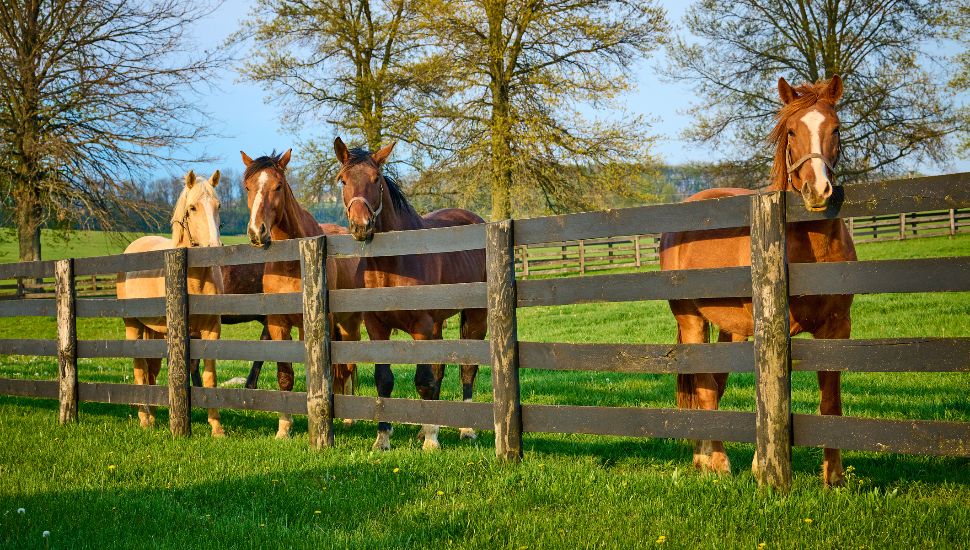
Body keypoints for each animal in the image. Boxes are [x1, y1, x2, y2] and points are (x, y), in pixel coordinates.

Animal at [117, 170, 227, 437]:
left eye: (218, 205)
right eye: (193, 208)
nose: (215, 247)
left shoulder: (211, 331)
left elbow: (210, 377)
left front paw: (217, 428)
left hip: (153, 332)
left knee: (151, 371)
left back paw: (153, 415)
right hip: (133, 326)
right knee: (140, 369)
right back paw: (145, 419)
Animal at [242, 149, 363, 438]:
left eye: (278, 186)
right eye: (248, 187)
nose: (256, 231)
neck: (292, 262)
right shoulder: (278, 324)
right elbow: (285, 375)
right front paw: (284, 428)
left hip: (349, 324)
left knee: (348, 367)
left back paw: (349, 418)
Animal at [333, 137, 487, 451]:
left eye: (376, 178)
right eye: (343, 180)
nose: (361, 226)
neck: (393, 262)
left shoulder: (422, 327)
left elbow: (424, 380)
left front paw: (431, 440)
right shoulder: (376, 328)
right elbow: (384, 379)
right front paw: (383, 438)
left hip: (476, 317)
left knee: (468, 368)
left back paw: (466, 428)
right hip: (439, 324)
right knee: (440, 369)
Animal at [659, 75, 854, 486]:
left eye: (835, 129)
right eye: (792, 130)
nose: (817, 191)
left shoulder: (837, 328)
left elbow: (831, 401)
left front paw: (834, 477)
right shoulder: (773, 330)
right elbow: (771, 393)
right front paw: (761, 465)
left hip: (729, 328)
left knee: (714, 382)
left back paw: (703, 458)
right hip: (691, 319)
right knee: (704, 385)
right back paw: (718, 462)